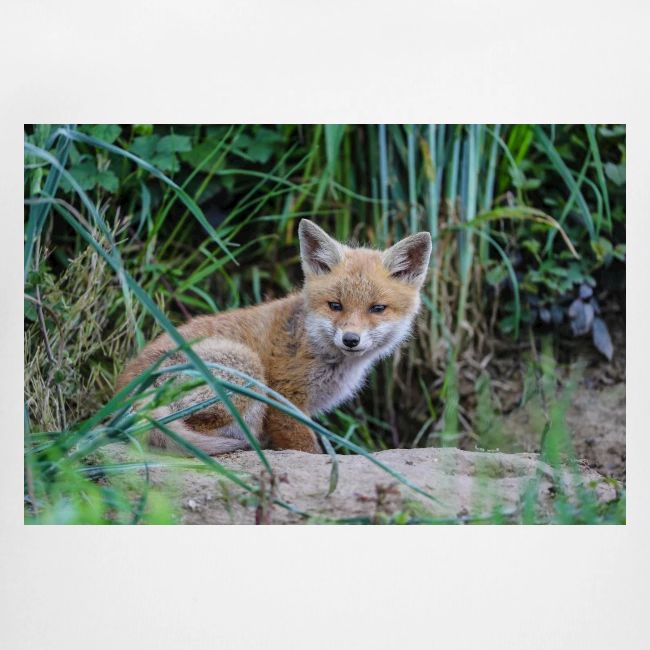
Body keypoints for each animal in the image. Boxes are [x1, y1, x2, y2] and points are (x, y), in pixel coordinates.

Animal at [116, 219, 432, 455]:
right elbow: (307, 448)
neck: (313, 344)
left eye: (377, 309)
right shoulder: (284, 401)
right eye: (335, 305)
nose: (351, 339)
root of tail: (124, 395)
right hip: (246, 369)